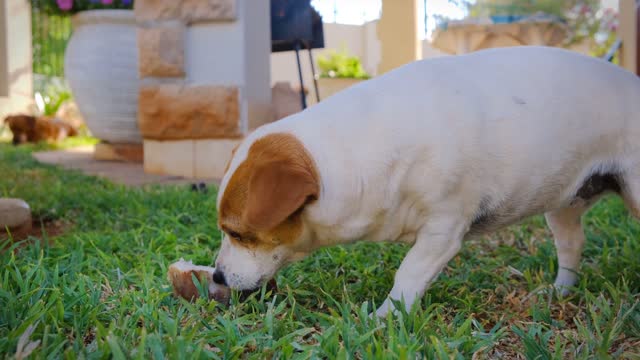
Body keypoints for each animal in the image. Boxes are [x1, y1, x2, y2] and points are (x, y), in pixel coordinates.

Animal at [214, 46, 640, 316]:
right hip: (564, 205)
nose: (216, 275)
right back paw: (559, 291)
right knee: (571, 247)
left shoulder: (443, 231)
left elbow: (408, 275)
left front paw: (382, 319)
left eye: (239, 234)